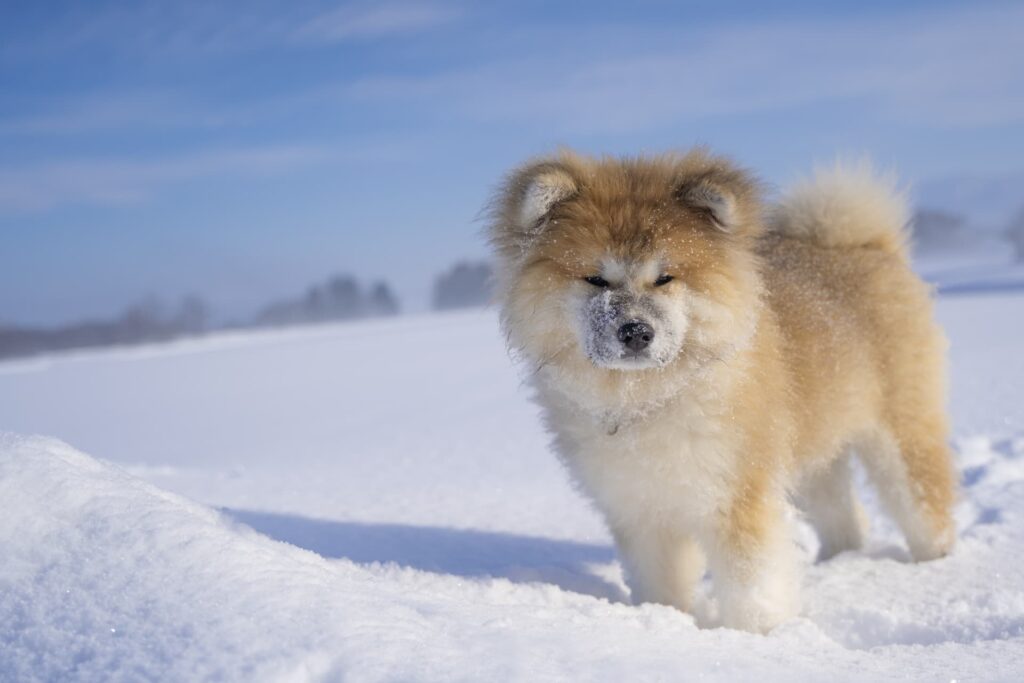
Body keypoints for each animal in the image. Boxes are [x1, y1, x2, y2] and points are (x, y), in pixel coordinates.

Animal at [487, 150, 958, 634]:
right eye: (596, 280)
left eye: (665, 278)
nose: (636, 332)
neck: (649, 397)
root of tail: (864, 246)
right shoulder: (641, 507)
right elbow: (661, 581)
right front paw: (665, 622)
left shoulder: (737, 493)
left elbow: (752, 582)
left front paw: (754, 634)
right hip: (815, 449)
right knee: (846, 516)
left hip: (898, 431)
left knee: (924, 500)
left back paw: (935, 564)